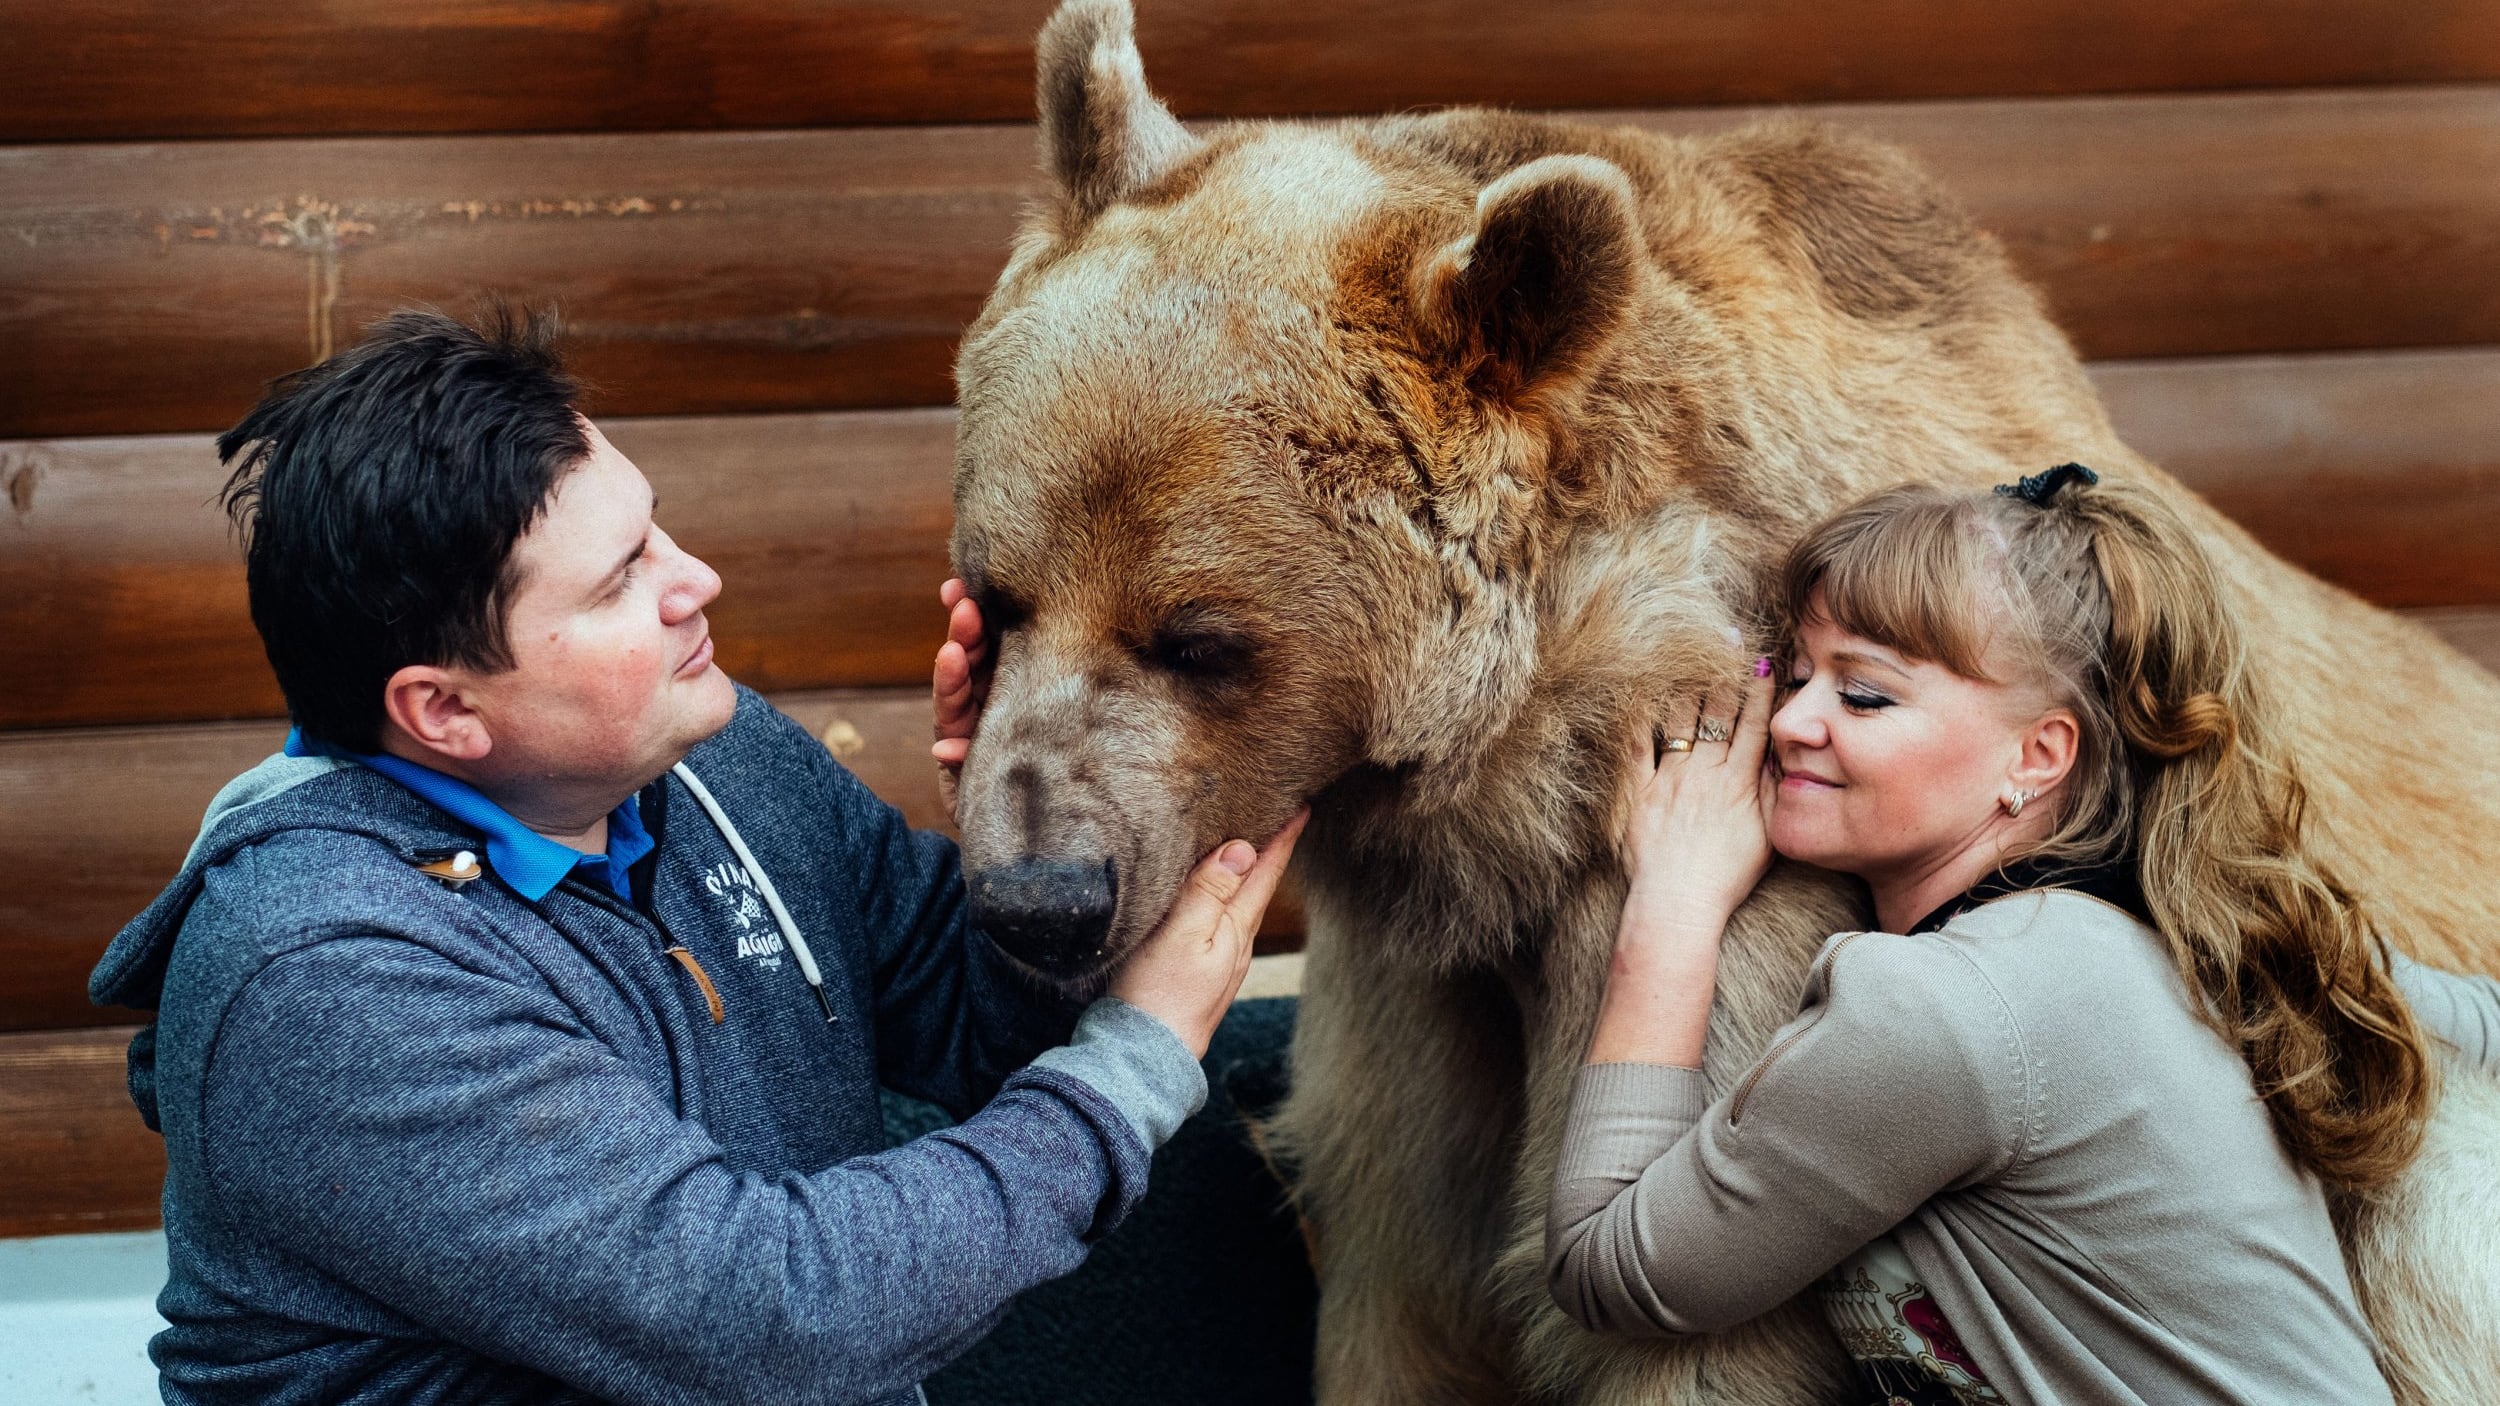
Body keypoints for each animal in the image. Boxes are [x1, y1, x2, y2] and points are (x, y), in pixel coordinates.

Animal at [942, 2, 2500, 1401]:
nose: (1039, 898)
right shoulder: (1419, 997)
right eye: (995, 594)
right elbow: (1410, 1284)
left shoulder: (1754, 917)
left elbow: (1681, 1312)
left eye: (1199, 638)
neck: (1517, 784)